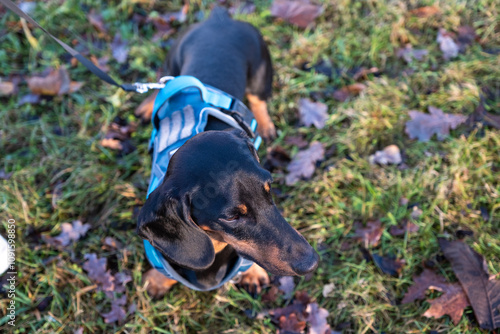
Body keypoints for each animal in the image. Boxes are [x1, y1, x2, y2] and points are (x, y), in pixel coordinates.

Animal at [135, 6, 318, 296]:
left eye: (269, 189)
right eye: (232, 217)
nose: (311, 263)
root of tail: (219, 18)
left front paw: (252, 273)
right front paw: (157, 279)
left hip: (261, 73)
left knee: (258, 99)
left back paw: (264, 124)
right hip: (171, 63)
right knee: (161, 85)